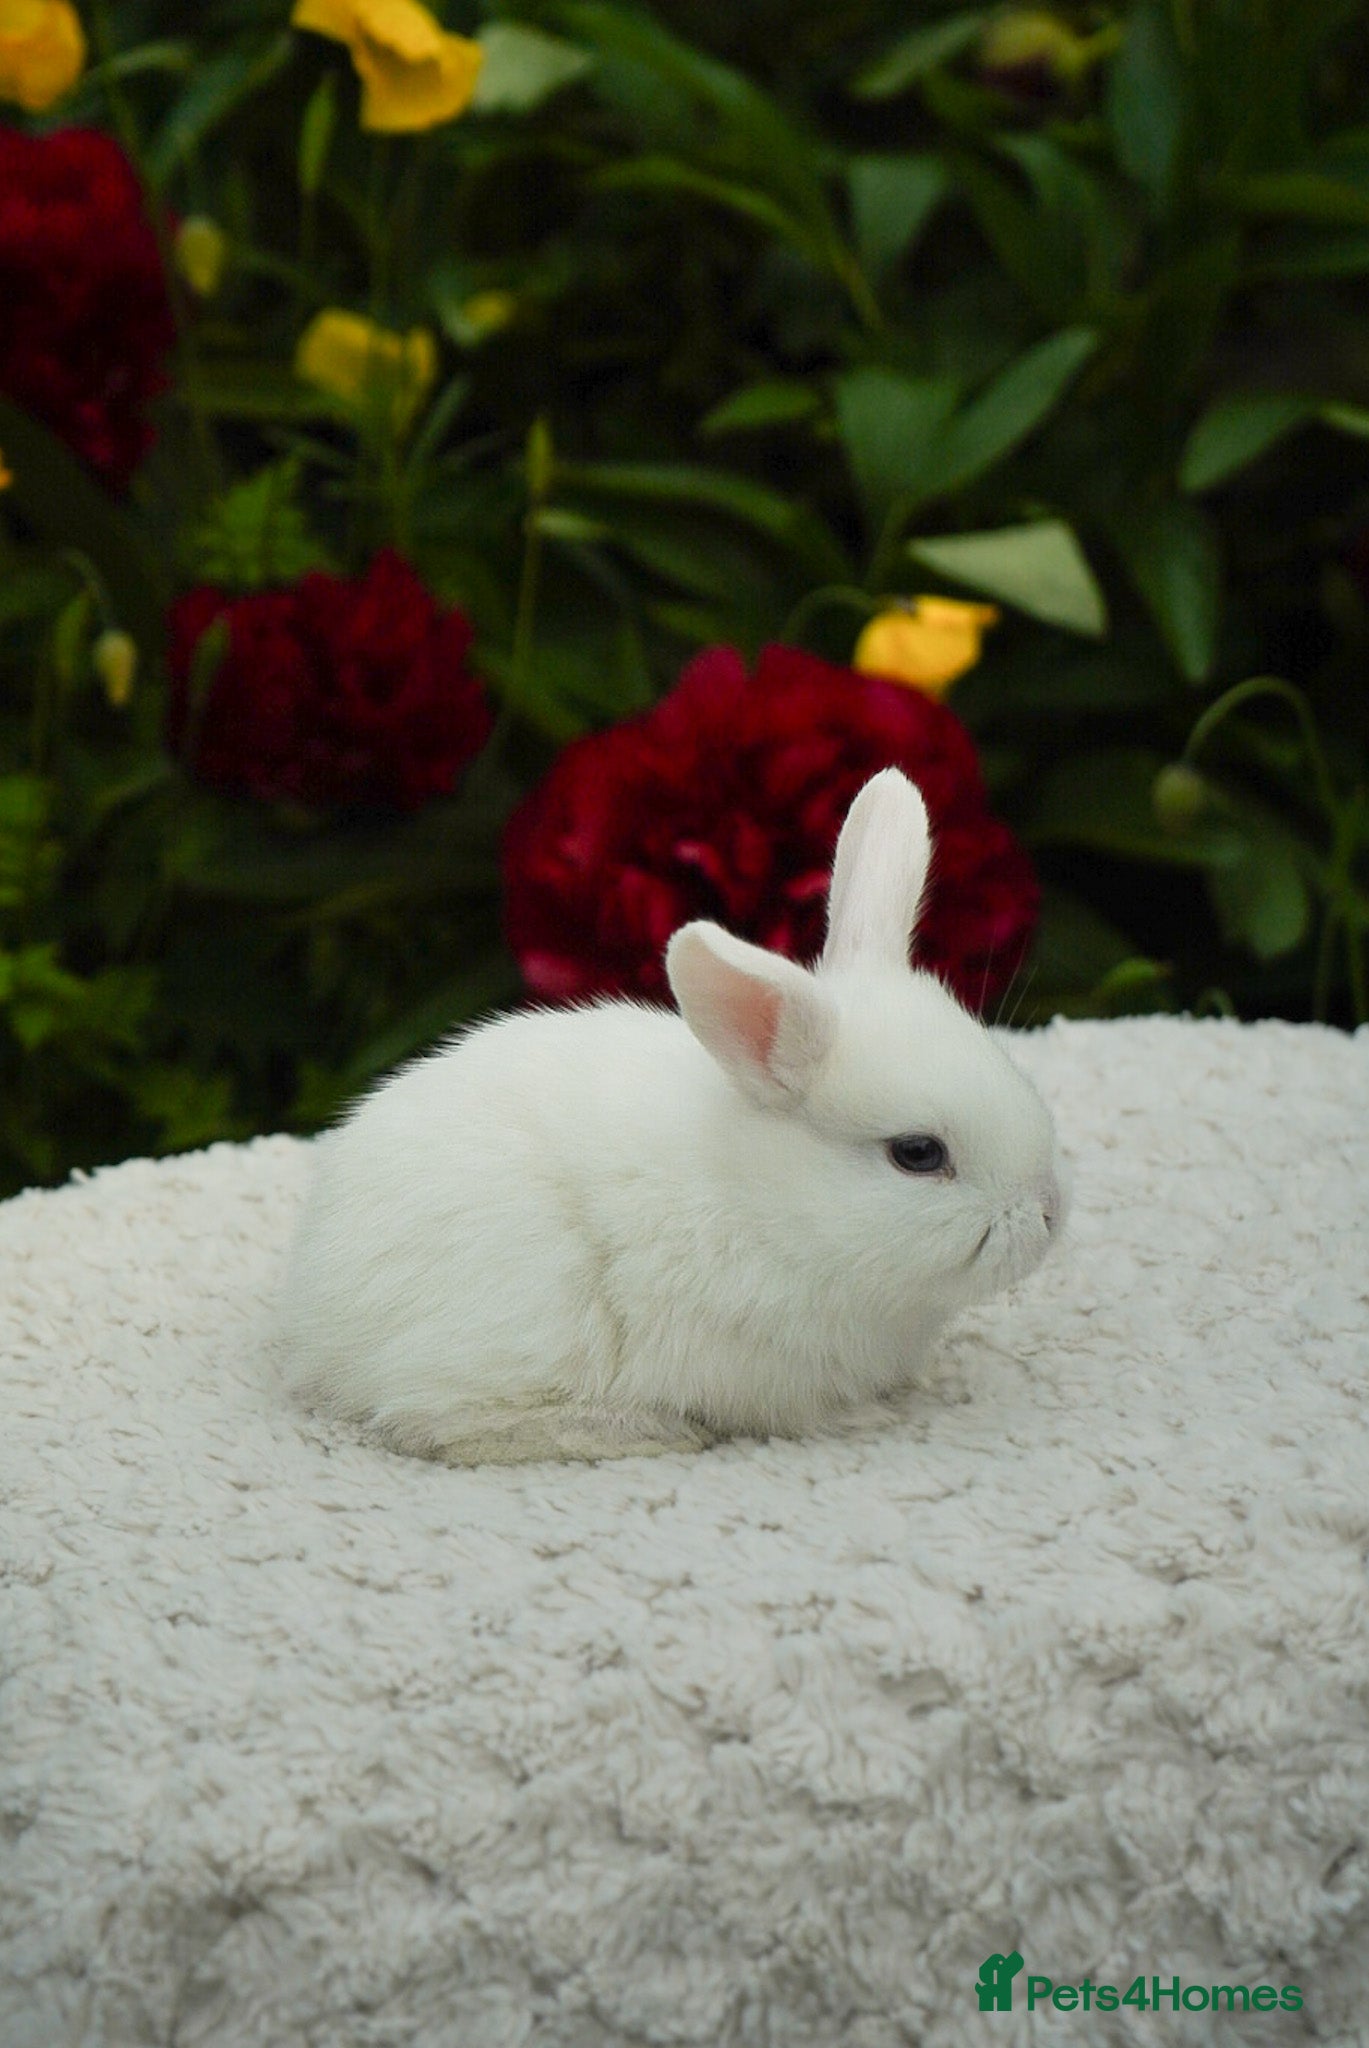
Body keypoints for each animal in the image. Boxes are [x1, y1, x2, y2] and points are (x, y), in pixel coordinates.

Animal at [275, 768, 1064, 1466]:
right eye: (917, 1153)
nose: (1049, 1217)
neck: (772, 1206)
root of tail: (314, 1310)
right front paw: (869, 1416)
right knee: (435, 1422)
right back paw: (640, 1430)